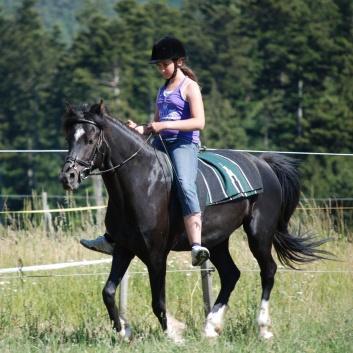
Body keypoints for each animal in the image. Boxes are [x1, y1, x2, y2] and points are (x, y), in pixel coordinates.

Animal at [58, 99, 330, 340]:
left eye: (90, 139)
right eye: (69, 138)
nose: (68, 177)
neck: (143, 183)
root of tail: (263, 164)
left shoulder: (156, 255)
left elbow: (158, 301)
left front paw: (173, 334)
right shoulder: (124, 248)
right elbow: (108, 292)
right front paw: (124, 331)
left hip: (259, 234)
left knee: (268, 271)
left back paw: (263, 328)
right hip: (217, 241)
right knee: (231, 274)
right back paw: (211, 327)